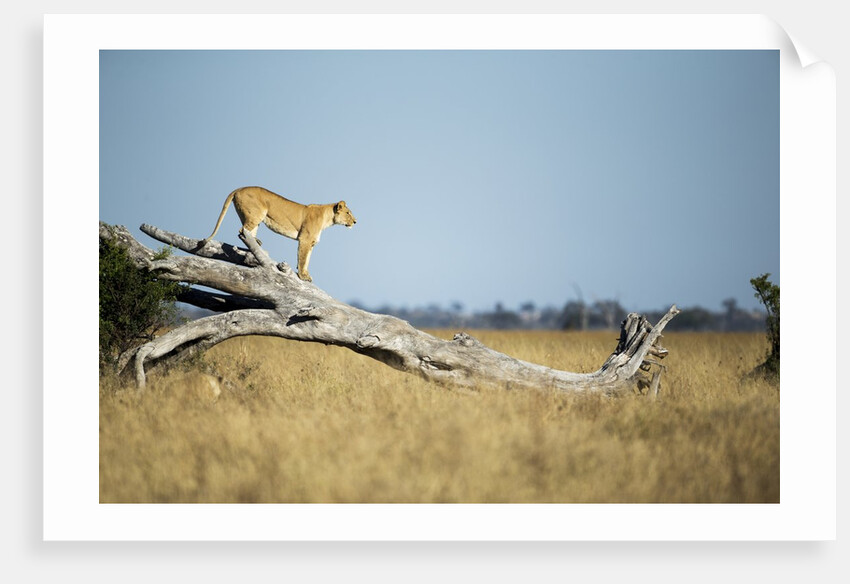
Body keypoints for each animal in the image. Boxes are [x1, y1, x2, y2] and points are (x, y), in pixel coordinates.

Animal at [201, 186, 357, 282]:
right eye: (348, 213)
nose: (355, 221)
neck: (328, 219)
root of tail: (240, 188)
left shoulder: (311, 243)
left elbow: (307, 260)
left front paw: (306, 275)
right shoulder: (305, 240)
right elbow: (302, 259)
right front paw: (302, 276)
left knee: (247, 231)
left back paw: (257, 243)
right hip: (256, 214)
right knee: (242, 230)